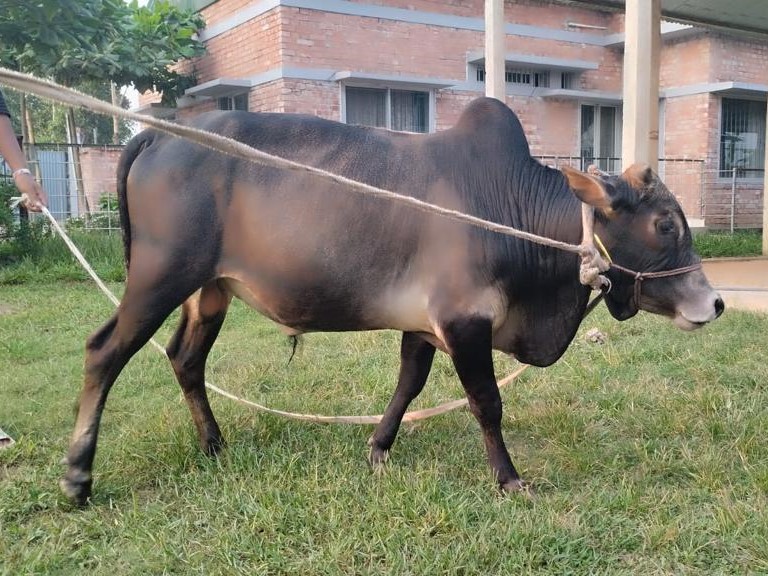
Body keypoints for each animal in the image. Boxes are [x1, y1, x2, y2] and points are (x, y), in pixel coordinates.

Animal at [58, 97, 720, 502]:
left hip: (209, 291)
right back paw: (77, 477)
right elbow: (486, 405)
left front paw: (377, 449)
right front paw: (509, 480)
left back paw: (214, 446)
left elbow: (408, 387)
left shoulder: (424, 327)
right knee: (103, 352)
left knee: (185, 359)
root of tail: (152, 135)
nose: (714, 304)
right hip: (159, 278)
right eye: (665, 224)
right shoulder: (464, 322)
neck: (515, 217)